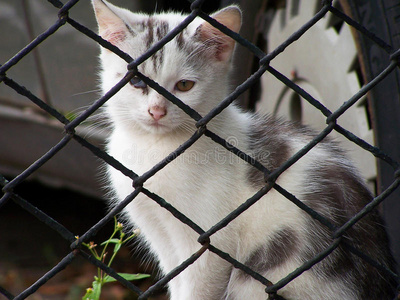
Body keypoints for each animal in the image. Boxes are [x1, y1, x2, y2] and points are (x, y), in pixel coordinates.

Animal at [92, 1, 396, 298]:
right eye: (136, 81)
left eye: (184, 85)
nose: (157, 111)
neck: (154, 149)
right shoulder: (160, 237)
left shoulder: (209, 244)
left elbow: (198, 289)